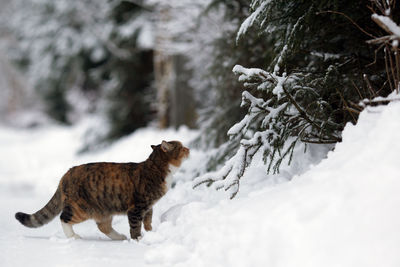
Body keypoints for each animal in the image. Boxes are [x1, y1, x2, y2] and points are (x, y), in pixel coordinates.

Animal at [15, 141, 189, 242]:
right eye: (181, 147)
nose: (188, 149)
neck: (155, 167)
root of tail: (66, 174)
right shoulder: (136, 208)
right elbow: (135, 226)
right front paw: (138, 239)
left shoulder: (148, 207)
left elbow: (148, 222)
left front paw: (151, 234)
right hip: (81, 208)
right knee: (64, 218)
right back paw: (73, 236)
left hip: (104, 208)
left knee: (103, 226)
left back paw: (119, 237)